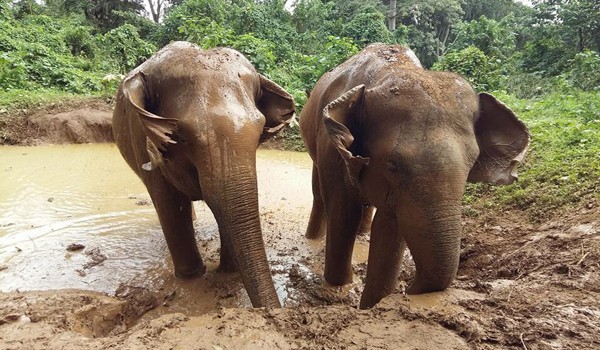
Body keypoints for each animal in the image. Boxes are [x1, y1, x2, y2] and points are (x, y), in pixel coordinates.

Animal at [112, 41, 296, 308]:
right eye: (181, 135)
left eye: (260, 128)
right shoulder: (141, 136)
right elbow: (169, 202)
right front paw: (191, 277)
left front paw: (229, 272)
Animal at [300, 44, 528, 308]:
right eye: (392, 165)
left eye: (471, 164)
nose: (408, 288)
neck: (391, 70)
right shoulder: (331, 151)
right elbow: (344, 212)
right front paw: (339, 289)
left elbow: (390, 228)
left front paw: (373, 304)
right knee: (320, 194)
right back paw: (313, 237)